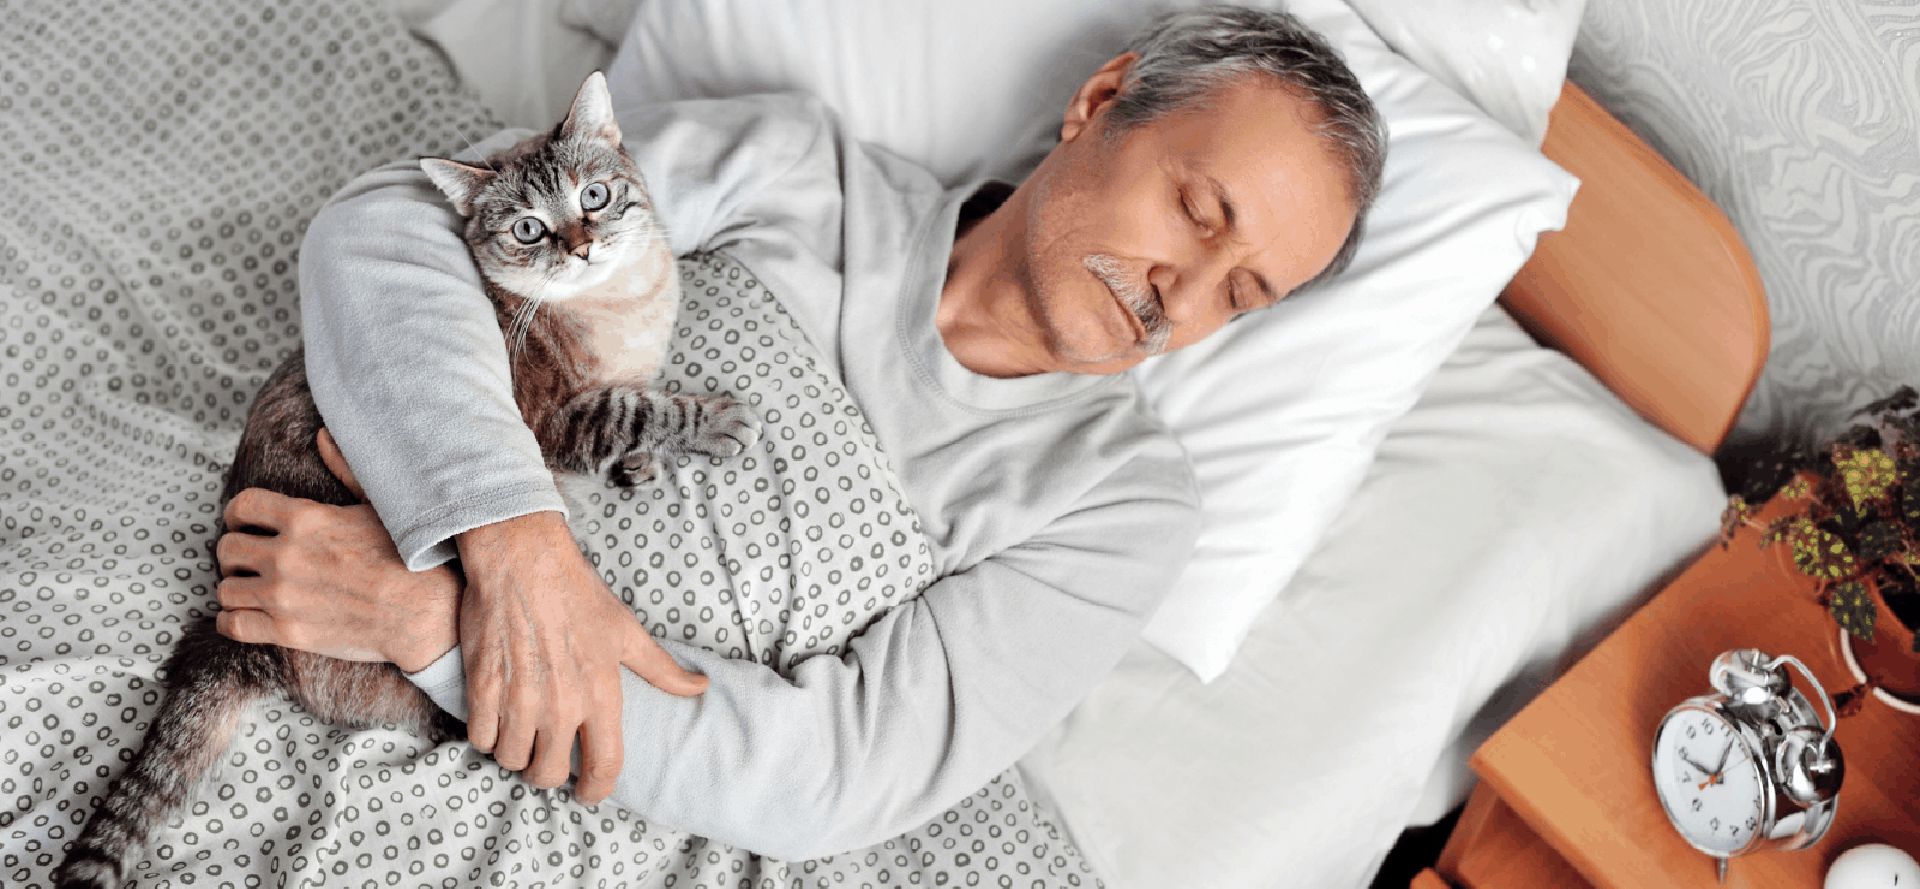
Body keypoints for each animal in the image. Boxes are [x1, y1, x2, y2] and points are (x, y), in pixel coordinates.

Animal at [58, 71, 756, 889]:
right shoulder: (561, 421)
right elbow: (641, 408)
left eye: (594, 197)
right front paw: (716, 421)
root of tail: (236, 637)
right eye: (529, 229)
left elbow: (639, 409)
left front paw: (642, 464)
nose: (582, 247)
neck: (622, 308)